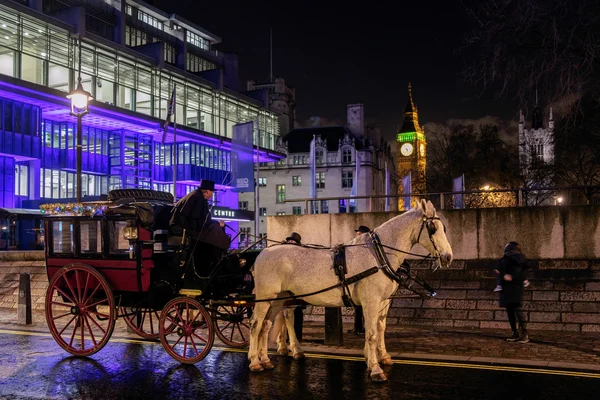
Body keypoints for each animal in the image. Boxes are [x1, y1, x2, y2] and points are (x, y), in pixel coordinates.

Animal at [247, 200, 450, 382]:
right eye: (432, 228)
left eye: (444, 229)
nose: (448, 257)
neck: (378, 255)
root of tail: (263, 252)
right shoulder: (371, 301)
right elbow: (371, 333)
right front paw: (375, 369)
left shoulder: (384, 301)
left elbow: (380, 328)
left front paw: (381, 357)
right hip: (265, 298)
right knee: (256, 324)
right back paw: (255, 361)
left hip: (280, 298)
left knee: (267, 324)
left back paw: (266, 359)